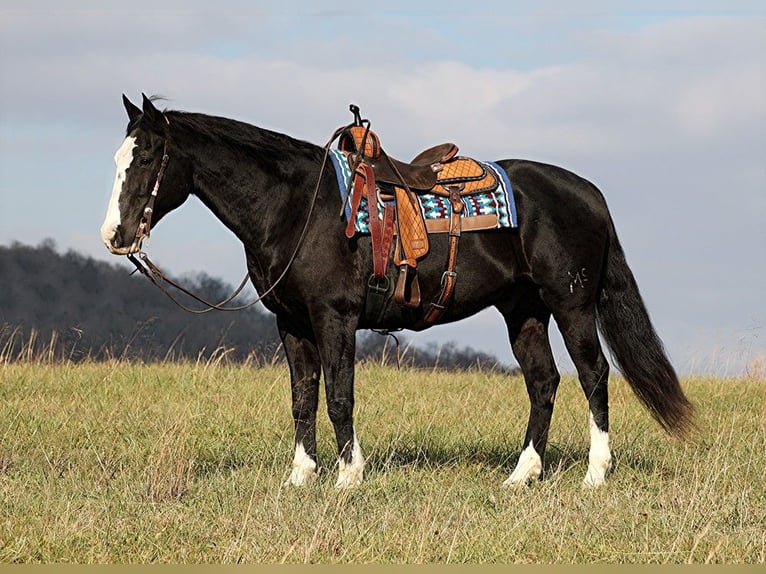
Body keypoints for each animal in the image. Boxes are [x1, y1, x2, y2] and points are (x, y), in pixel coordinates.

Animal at [100, 94, 696, 490]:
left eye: (148, 158)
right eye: (117, 159)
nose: (114, 235)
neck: (296, 206)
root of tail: (589, 193)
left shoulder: (335, 316)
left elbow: (339, 395)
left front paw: (348, 478)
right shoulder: (291, 324)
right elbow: (302, 399)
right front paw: (300, 478)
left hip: (571, 305)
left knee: (593, 375)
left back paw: (596, 474)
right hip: (523, 310)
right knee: (543, 381)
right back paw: (521, 476)